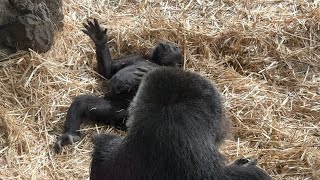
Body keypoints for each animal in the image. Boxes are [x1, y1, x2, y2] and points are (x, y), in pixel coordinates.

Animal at [54, 19, 184, 153]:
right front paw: (99, 39)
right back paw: (70, 135)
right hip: (112, 110)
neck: (156, 61)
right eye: (171, 45)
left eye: (175, 47)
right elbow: (108, 71)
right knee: (83, 102)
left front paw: (146, 74)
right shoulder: (135, 57)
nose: (168, 44)